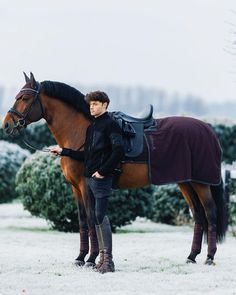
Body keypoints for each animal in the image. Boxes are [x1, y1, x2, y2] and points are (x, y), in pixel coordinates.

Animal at [1, 73, 227, 268]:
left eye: (25, 97)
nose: (7, 125)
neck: (81, 132)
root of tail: (208, 130)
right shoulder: (75, 188)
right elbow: (82, 221)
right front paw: (80, 257)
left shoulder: (86, 185)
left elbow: (92, 218)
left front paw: (91, 259)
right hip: (186, 182)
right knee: (198, 215)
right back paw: (191, 256)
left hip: (201, 183)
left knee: (210, 213)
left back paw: (209, 257)